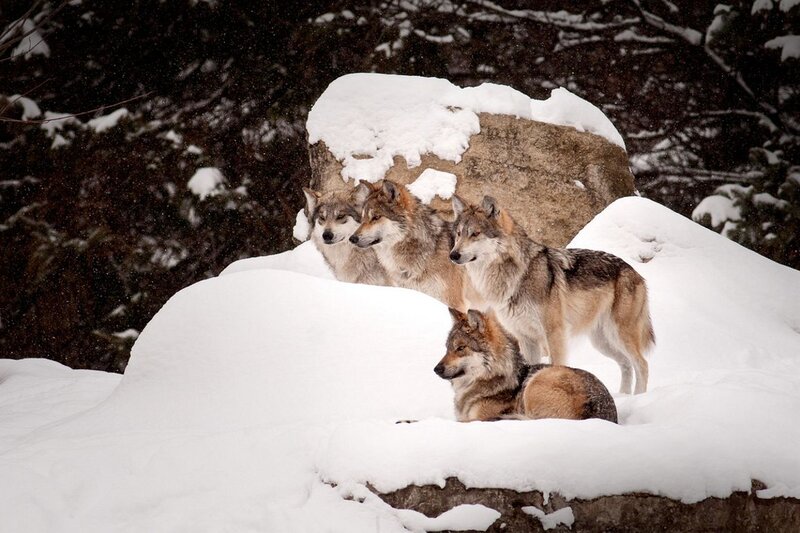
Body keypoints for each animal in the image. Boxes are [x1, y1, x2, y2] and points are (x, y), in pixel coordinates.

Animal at [449, 195, 654, 394]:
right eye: (459, 234)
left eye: (475, 233)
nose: (453, 255)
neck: (517, 274)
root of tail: (635, 272)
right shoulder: (526, 338)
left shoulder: (554, 334)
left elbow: (556, 365)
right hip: (602, 342)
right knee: (626, 364)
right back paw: (624, 396)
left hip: (620, 335)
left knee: (642, 364)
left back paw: (639, 397)